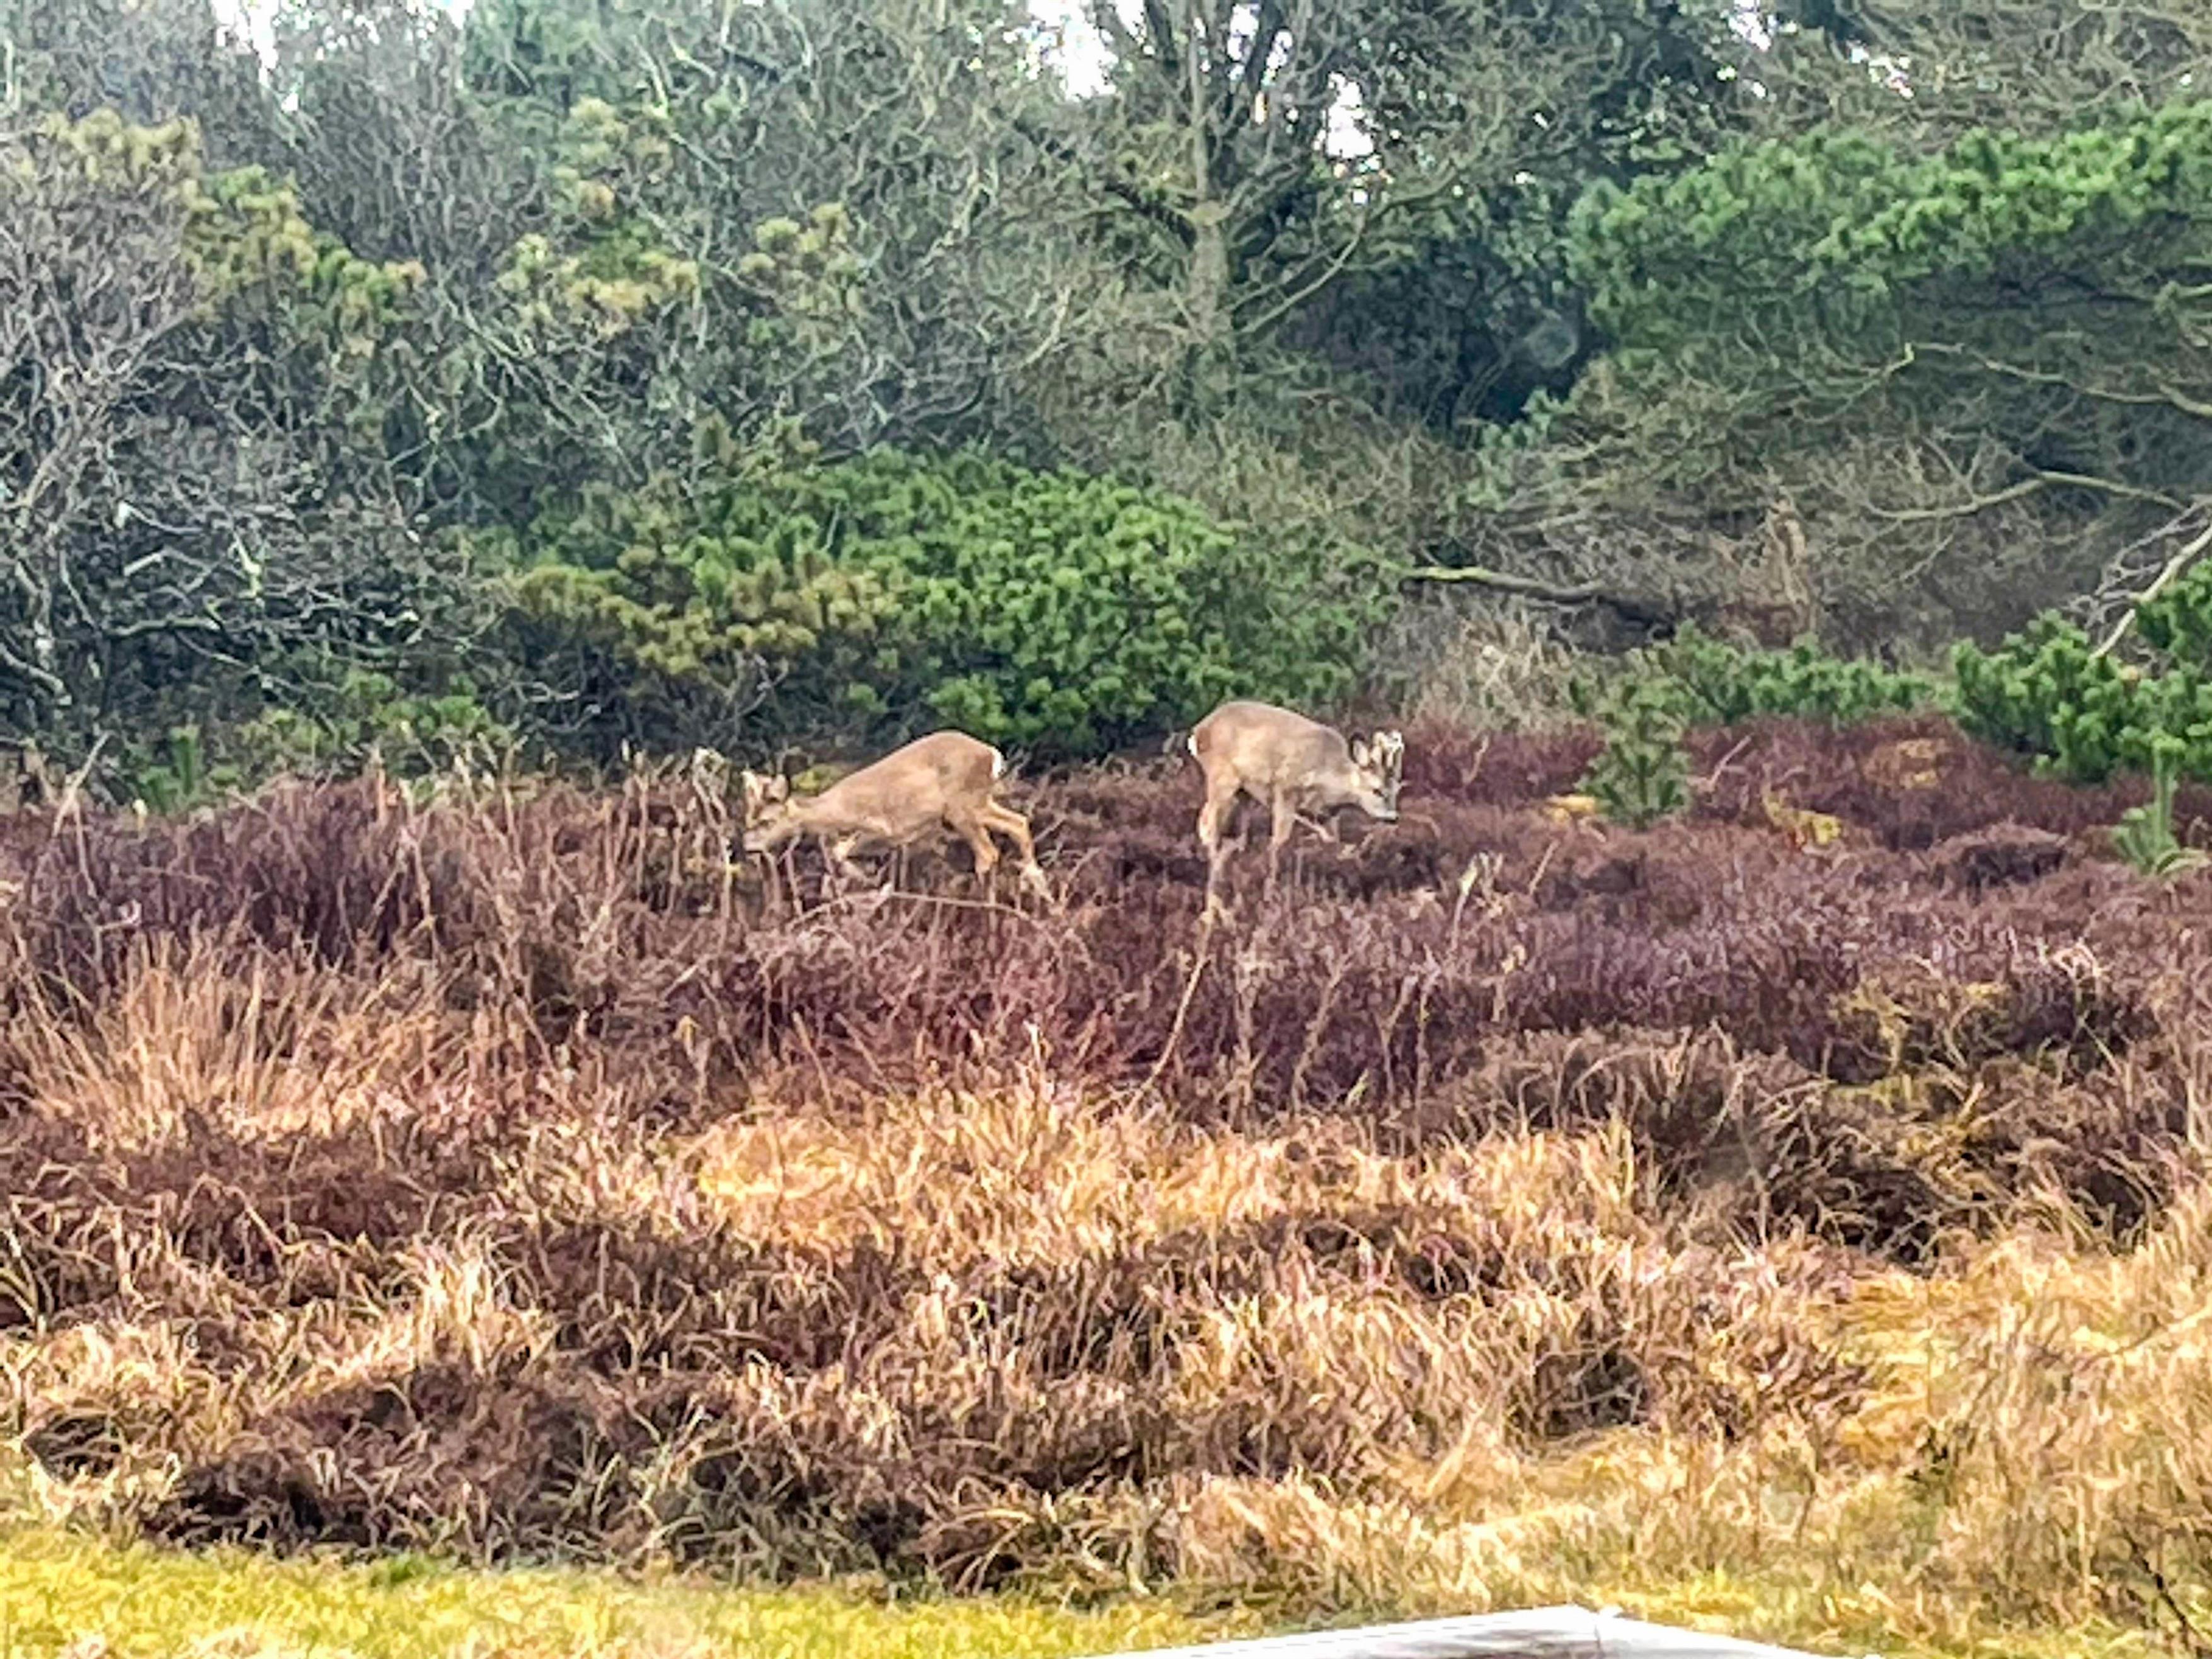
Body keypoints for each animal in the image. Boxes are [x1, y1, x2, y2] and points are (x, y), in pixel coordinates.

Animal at [739, 729, 1050, 901]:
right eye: (748, 819)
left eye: (767, 821)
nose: (748, 846)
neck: (838, 808)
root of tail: (991, 753)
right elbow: (840, 852)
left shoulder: (886, 827)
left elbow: (841, 850)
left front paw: (870, 884)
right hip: (977, 803)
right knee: (1018, 823)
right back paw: (1037, 887)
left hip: (961, 807)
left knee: (988, 852)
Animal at [1186, 699, 1405, 894]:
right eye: (1377, 790)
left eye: (1397, 789)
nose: (1393, 818)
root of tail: (1199, 731)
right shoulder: (1285, 787)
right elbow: (1278, 841)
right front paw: (1271, 886)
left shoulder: (1320, 812)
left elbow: (1331, 838)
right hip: (1223, 778)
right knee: (1207, 823)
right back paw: (1216, 874)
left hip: (1242, 791)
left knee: (1232, 829)